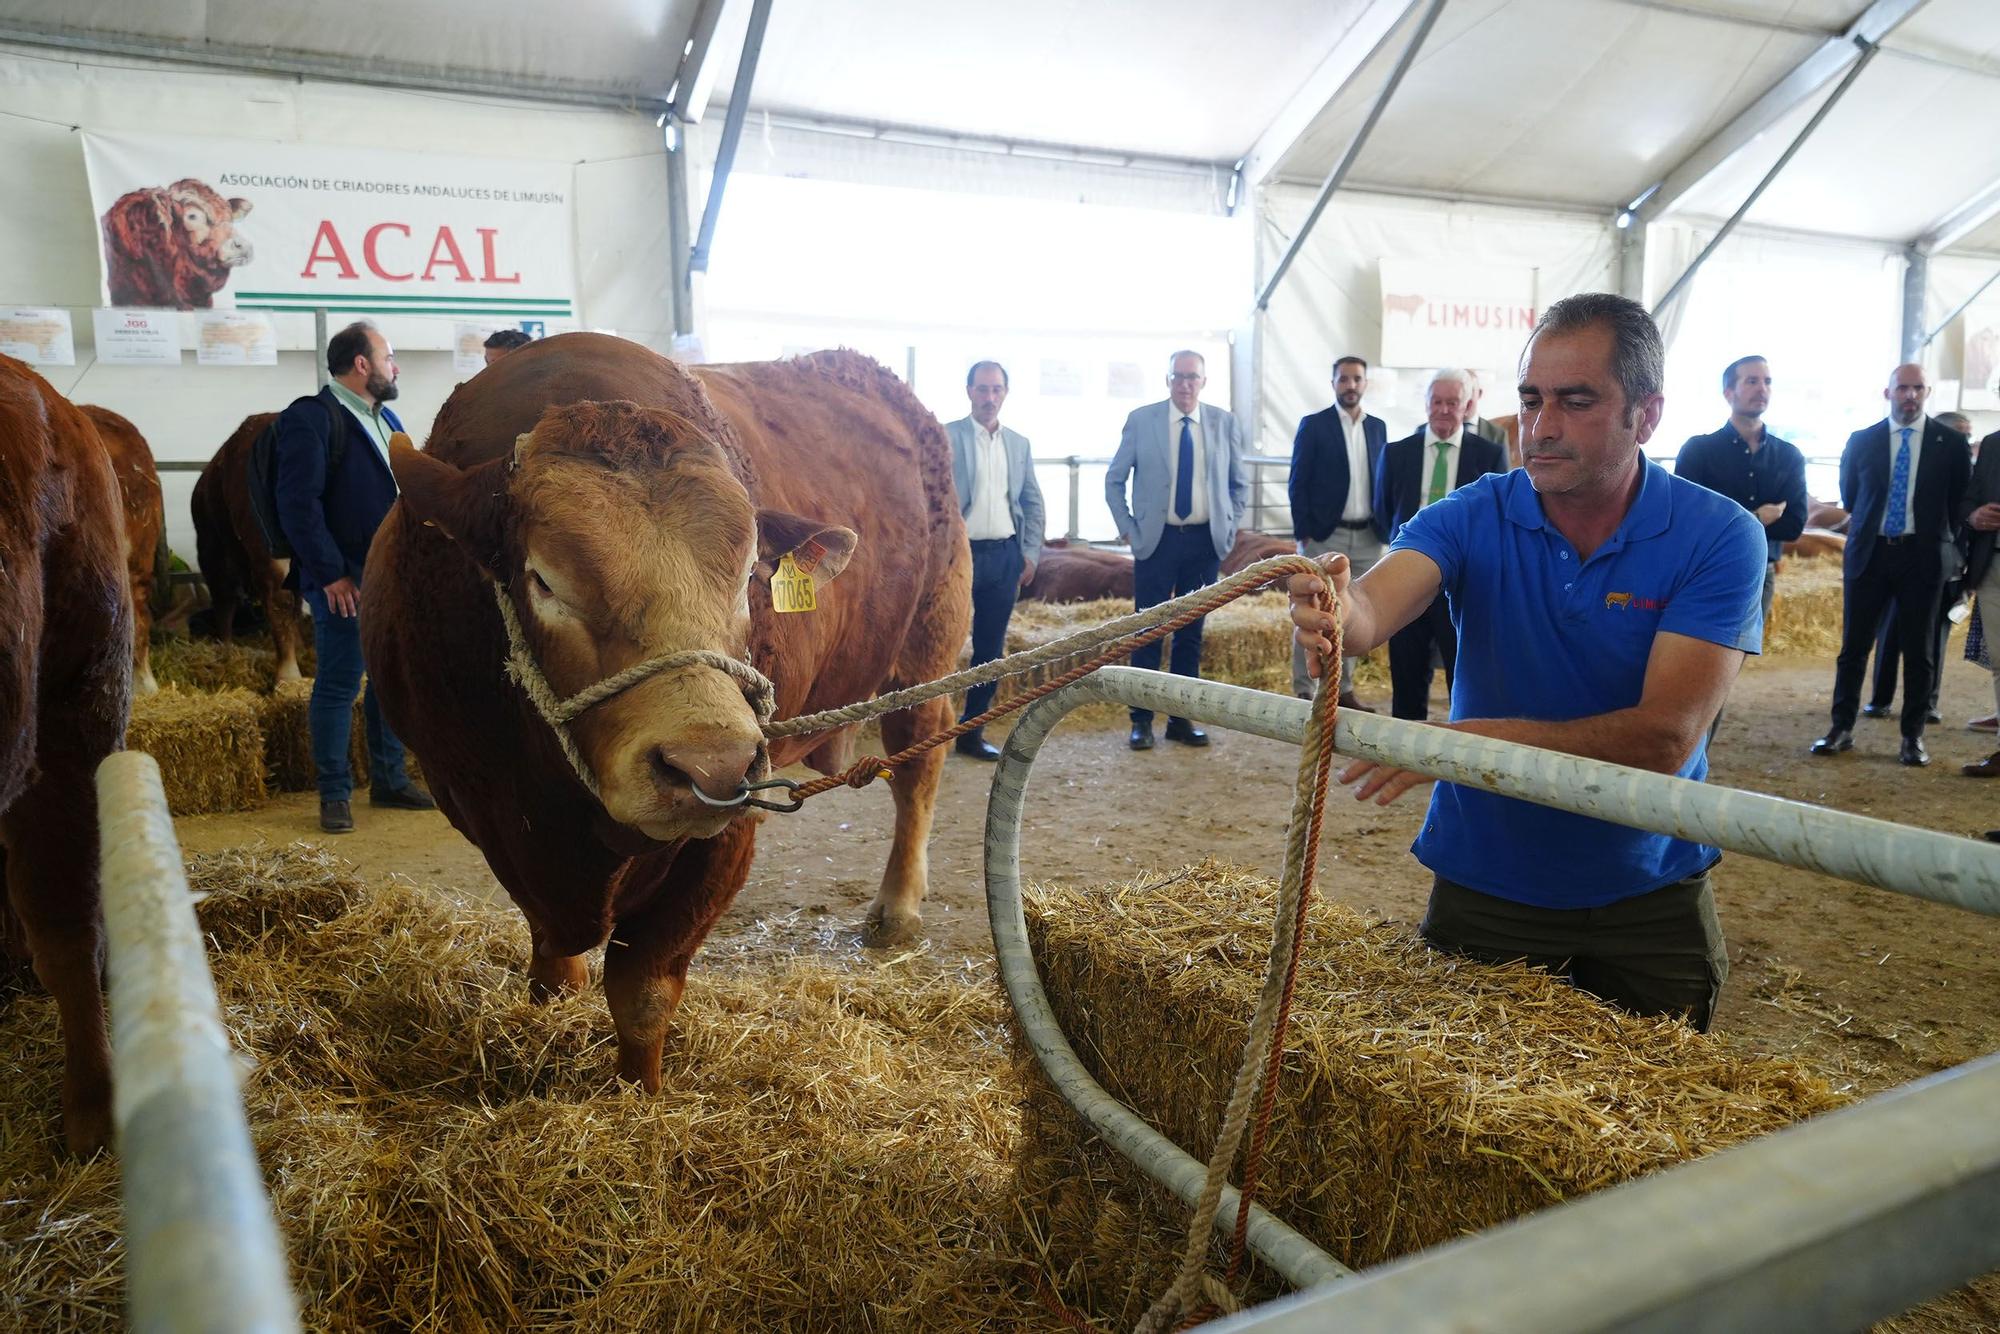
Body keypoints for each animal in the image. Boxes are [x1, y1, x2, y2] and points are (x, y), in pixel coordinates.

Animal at [190, 414, 304, 684]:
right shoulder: (269, 558)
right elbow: (281, 604)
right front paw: (288, 676)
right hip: (213, 553)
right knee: (224, 602)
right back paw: (226, 650)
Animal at [370, 336, 976, 1096]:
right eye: (542, 579)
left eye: (750, 575)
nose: (709, 766)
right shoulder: (475, 801)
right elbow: (544, 940)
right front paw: (549, 1002)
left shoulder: (732, 827)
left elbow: (643, 988)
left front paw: (639, 1096)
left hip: (927, 652)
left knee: (919, 767)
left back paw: (897, 906)